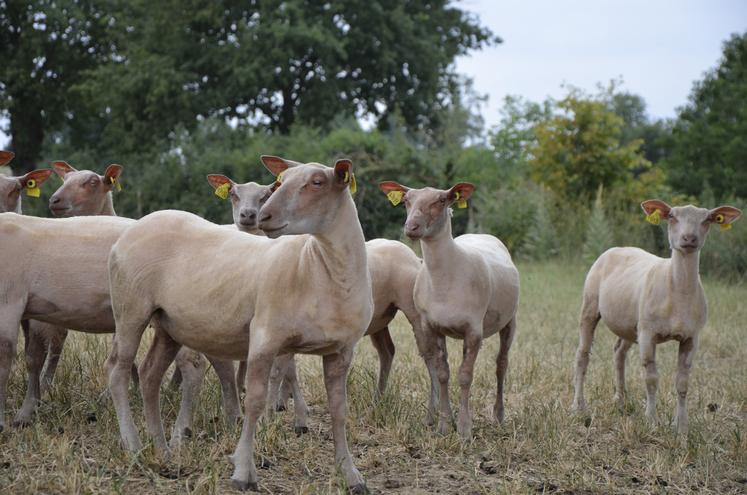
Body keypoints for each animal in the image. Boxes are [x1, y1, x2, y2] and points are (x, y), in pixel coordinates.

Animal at [380, 182, 520, 442]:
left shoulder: (474, 330)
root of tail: (481, 235)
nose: (411, 227)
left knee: (501, 364)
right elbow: (442, 373)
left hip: (510, 320)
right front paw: (445, 425)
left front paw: (465, 429)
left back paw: (499, 415)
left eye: (441, 200)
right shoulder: (431, 326)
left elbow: (465, 376)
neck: (444, 281)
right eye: (406, 200)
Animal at [572, 201, 744, 434]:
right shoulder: (648, 333)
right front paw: (651, 421)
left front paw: (681, 427)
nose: (689, 238)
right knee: (582, 355)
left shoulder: (691, 337)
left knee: (618, 352)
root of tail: (618, 248)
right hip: (591, 305)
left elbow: (682, 382)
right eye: (671, 216)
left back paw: (621, 399)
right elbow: (651, 379)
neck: (677, 291)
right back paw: (579, 406)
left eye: (708, 219)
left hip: (629, 322)